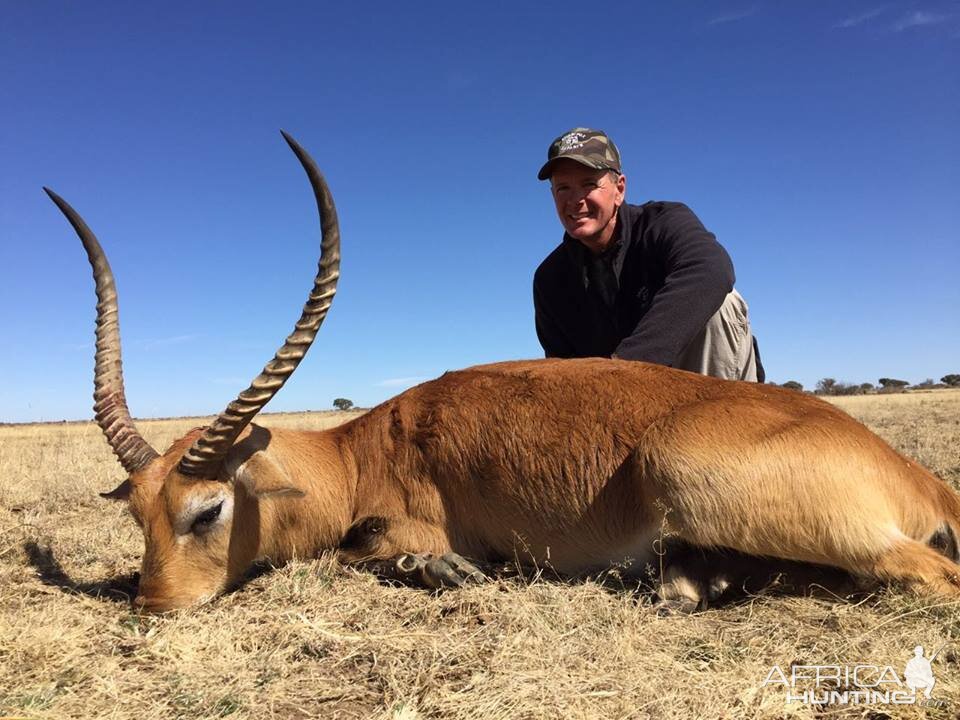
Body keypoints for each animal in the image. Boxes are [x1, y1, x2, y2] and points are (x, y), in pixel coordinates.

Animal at [47, 131, 960, 612]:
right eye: (138, 516)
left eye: (205, 510)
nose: (155, 607)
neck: (357, 450)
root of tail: (916, 473)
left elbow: (362, 547)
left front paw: (444, 567)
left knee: (929, 575)